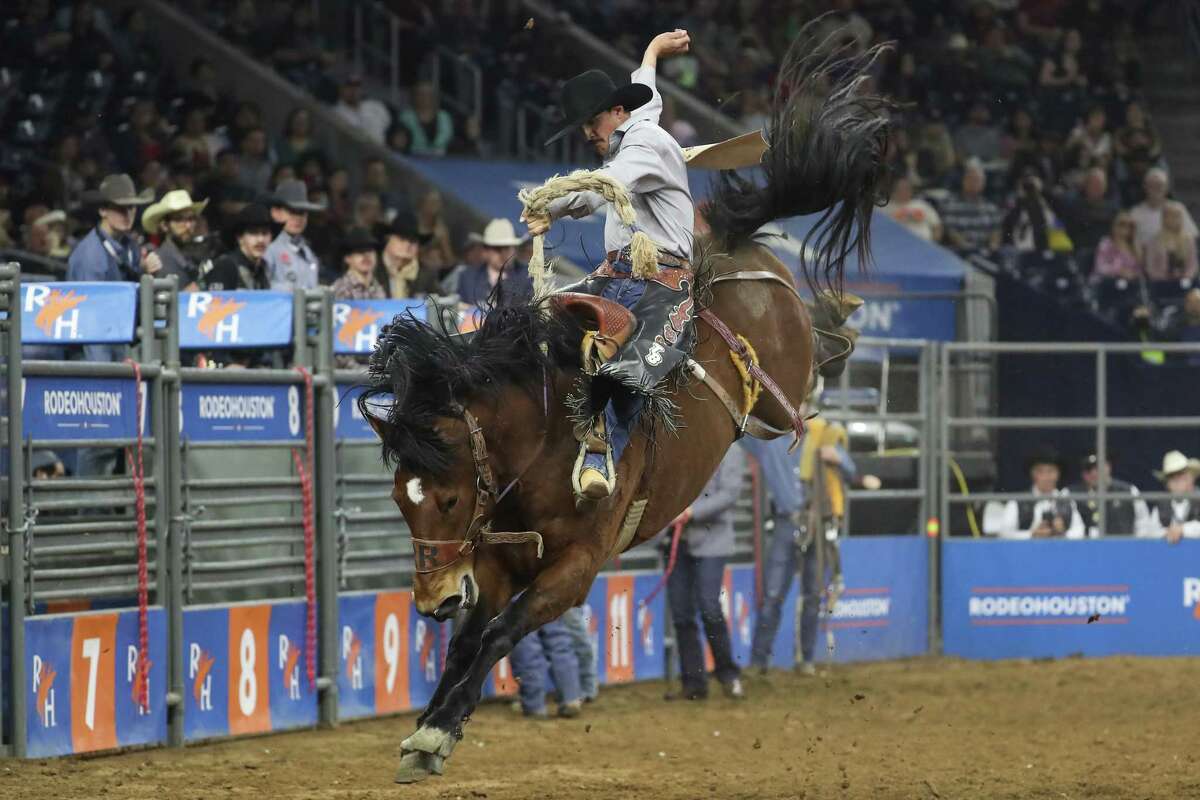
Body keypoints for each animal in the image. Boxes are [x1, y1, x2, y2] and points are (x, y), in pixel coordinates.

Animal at [355, 29, 892, 782]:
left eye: (451, 498)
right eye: (401, 501)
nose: (432, 602)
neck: (541, 443)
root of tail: (719, 254)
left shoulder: (576, 569)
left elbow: (500, 633)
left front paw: (435, 732)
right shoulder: (493, 564)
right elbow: (470, 641)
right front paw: (430, 732)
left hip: (783, 385)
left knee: (813, 360)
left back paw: (844, 320)